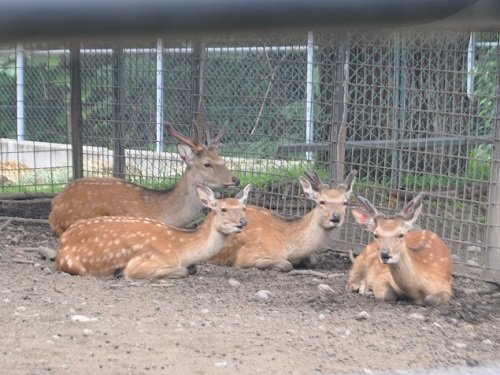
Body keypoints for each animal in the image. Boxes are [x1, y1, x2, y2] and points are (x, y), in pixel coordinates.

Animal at [55, 185, 250, 280]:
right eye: (223, 209)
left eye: (244, 208)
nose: (243, 222)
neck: (180, 249)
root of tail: (62, 242)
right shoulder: (145, 261)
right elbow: (182, 271)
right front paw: (120, 272)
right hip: (73, 264)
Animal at [209, 171, 358, 274]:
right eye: (322, 201)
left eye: (345, 202)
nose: (336, 218)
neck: (289, 246)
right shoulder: (247, 256)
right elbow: (286, 264)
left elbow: (314, 259)